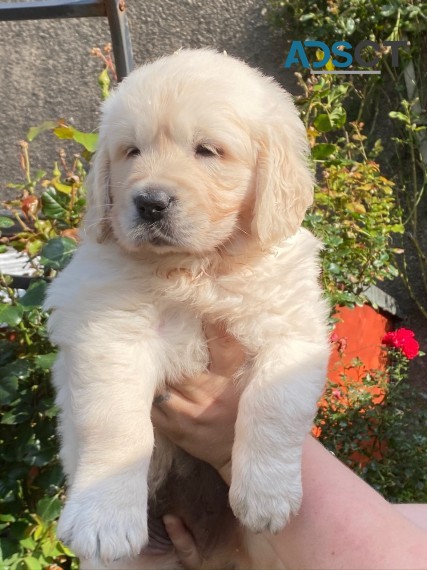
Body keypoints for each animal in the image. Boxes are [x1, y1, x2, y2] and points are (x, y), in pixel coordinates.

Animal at [44, 50, 332, 568]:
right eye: (131, 151)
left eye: (207, 150)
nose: (150, 203)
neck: (197, 270)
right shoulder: (111, 331)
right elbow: (116, 424)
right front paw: (103, 519)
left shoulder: (292, 330)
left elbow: (275, 405)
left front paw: (267, 497)